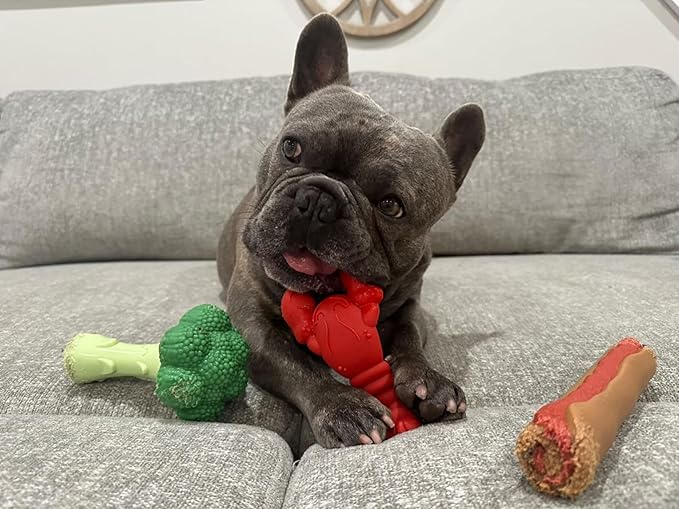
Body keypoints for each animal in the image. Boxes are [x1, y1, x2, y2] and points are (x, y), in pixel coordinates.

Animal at [217, 13, 485, 448]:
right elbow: (296, 364)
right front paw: (343, 405)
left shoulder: (412, 305)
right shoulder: (252, 326)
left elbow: (410, 337)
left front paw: (428, 380)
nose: (318, 200)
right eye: (291, 148)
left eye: (391, 206)